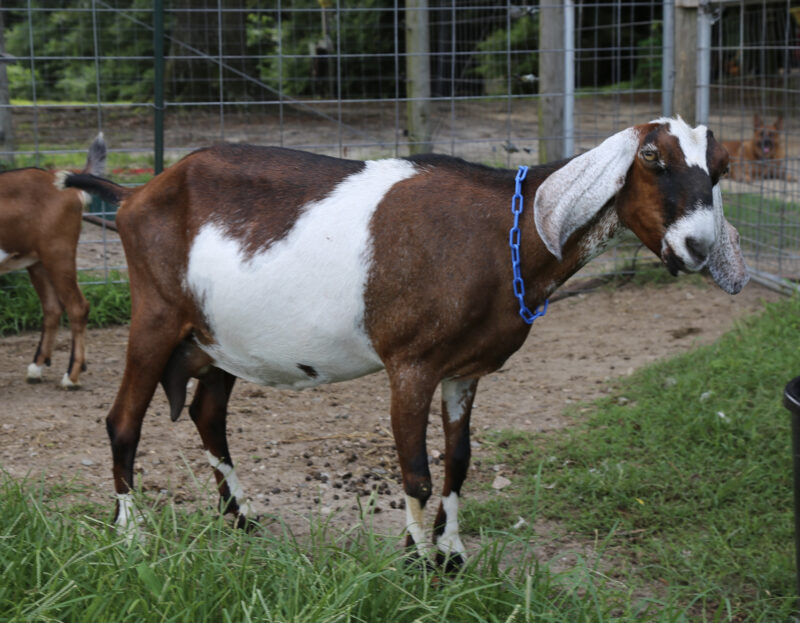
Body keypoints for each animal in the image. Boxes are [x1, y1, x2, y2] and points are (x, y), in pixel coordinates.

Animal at [0, 134, 106, 388]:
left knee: (77, 306)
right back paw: (36, 369)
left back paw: (71, 377)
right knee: (52, 308)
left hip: (58, 252)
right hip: (37, 261)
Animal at [63, 117, 748, 562]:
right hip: (155, 314)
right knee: (122, 420)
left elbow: (460, 460)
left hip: (218, 338)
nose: (697, 248)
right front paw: (419, 564)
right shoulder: (410, 364)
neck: (502, 234)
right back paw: (131, 533)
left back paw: (241, 520)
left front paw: (452, 551)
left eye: (720, 169)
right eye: (652, 158)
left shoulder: (463, 370)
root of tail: (137, 193)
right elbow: (415, 472)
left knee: (208, 413)